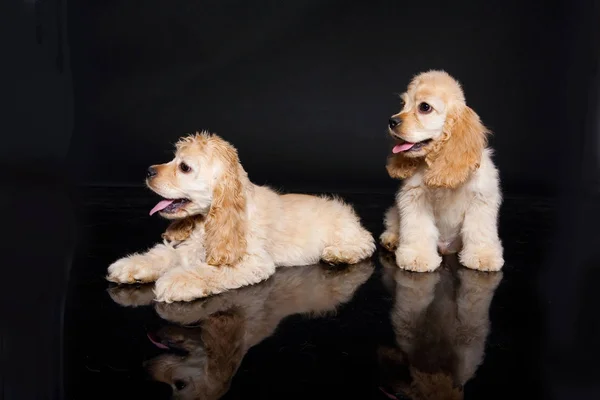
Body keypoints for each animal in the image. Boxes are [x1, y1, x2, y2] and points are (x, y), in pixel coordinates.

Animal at [105, 133, 372, 302]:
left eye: (184, 167)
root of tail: (344, 208)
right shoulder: (187, 247)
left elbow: (208, 271)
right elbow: (161, 255)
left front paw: (177, 281)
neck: (207, 221)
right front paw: (131, 266)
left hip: (345, 231)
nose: (149, 171)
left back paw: (338, 254)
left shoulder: (252, 261)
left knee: (364, 242)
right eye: (173, 159)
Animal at [382, 71, 504, 272]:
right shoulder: (415, 198)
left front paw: (482, 257)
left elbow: (479, 231)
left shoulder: (481, 199)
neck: (437, 160)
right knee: (393, 221)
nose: (392, 121)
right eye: (403, 104)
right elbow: (419, 230)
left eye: (424, 107)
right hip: (395, 211)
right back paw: (391, 239)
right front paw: (417, 257)